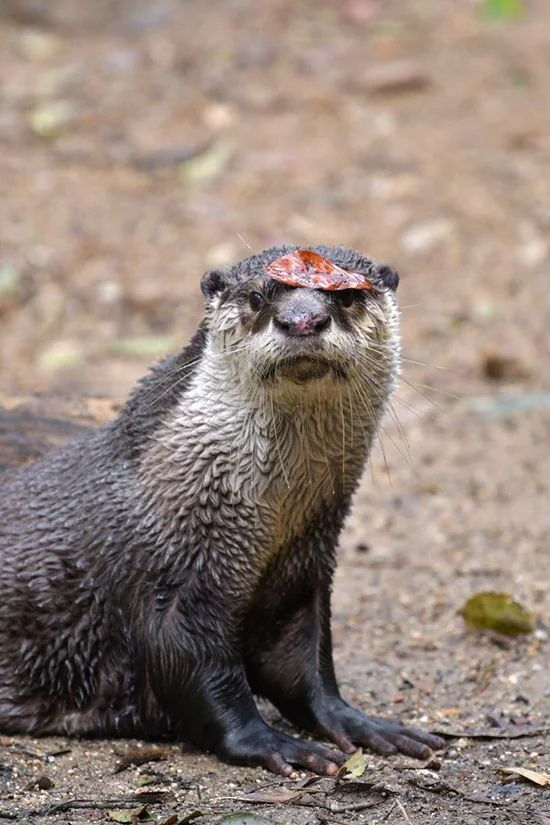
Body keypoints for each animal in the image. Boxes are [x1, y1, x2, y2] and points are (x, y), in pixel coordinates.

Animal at [0, 243, 446, 772]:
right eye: (257, 296)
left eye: (348, 296)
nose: (302, 321)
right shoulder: (172, 579)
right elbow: (193, 667)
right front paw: (270, 741)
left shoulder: (304, 566)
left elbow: (300, 665)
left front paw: (359, 722)